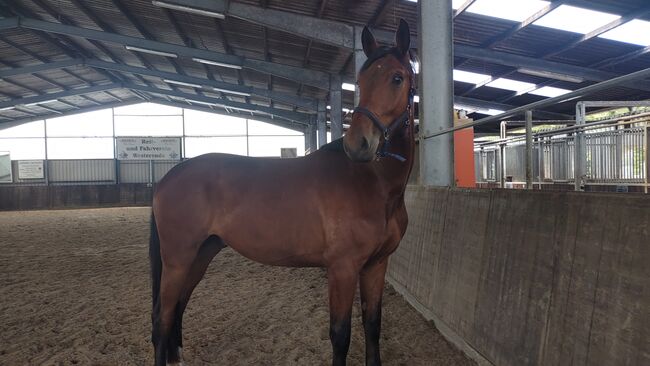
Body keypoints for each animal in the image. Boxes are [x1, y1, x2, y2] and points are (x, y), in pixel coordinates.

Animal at [150, 20, 416, 366]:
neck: (374, 184)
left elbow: (372, 325)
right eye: (360, 81)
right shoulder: (342, 268)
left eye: (397, 78)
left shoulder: (376, 265)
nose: (358, 144)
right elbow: (340, 335)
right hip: (178, 259)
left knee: (177, 309)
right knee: (163, 318)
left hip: (201, 254)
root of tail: (169, 177)